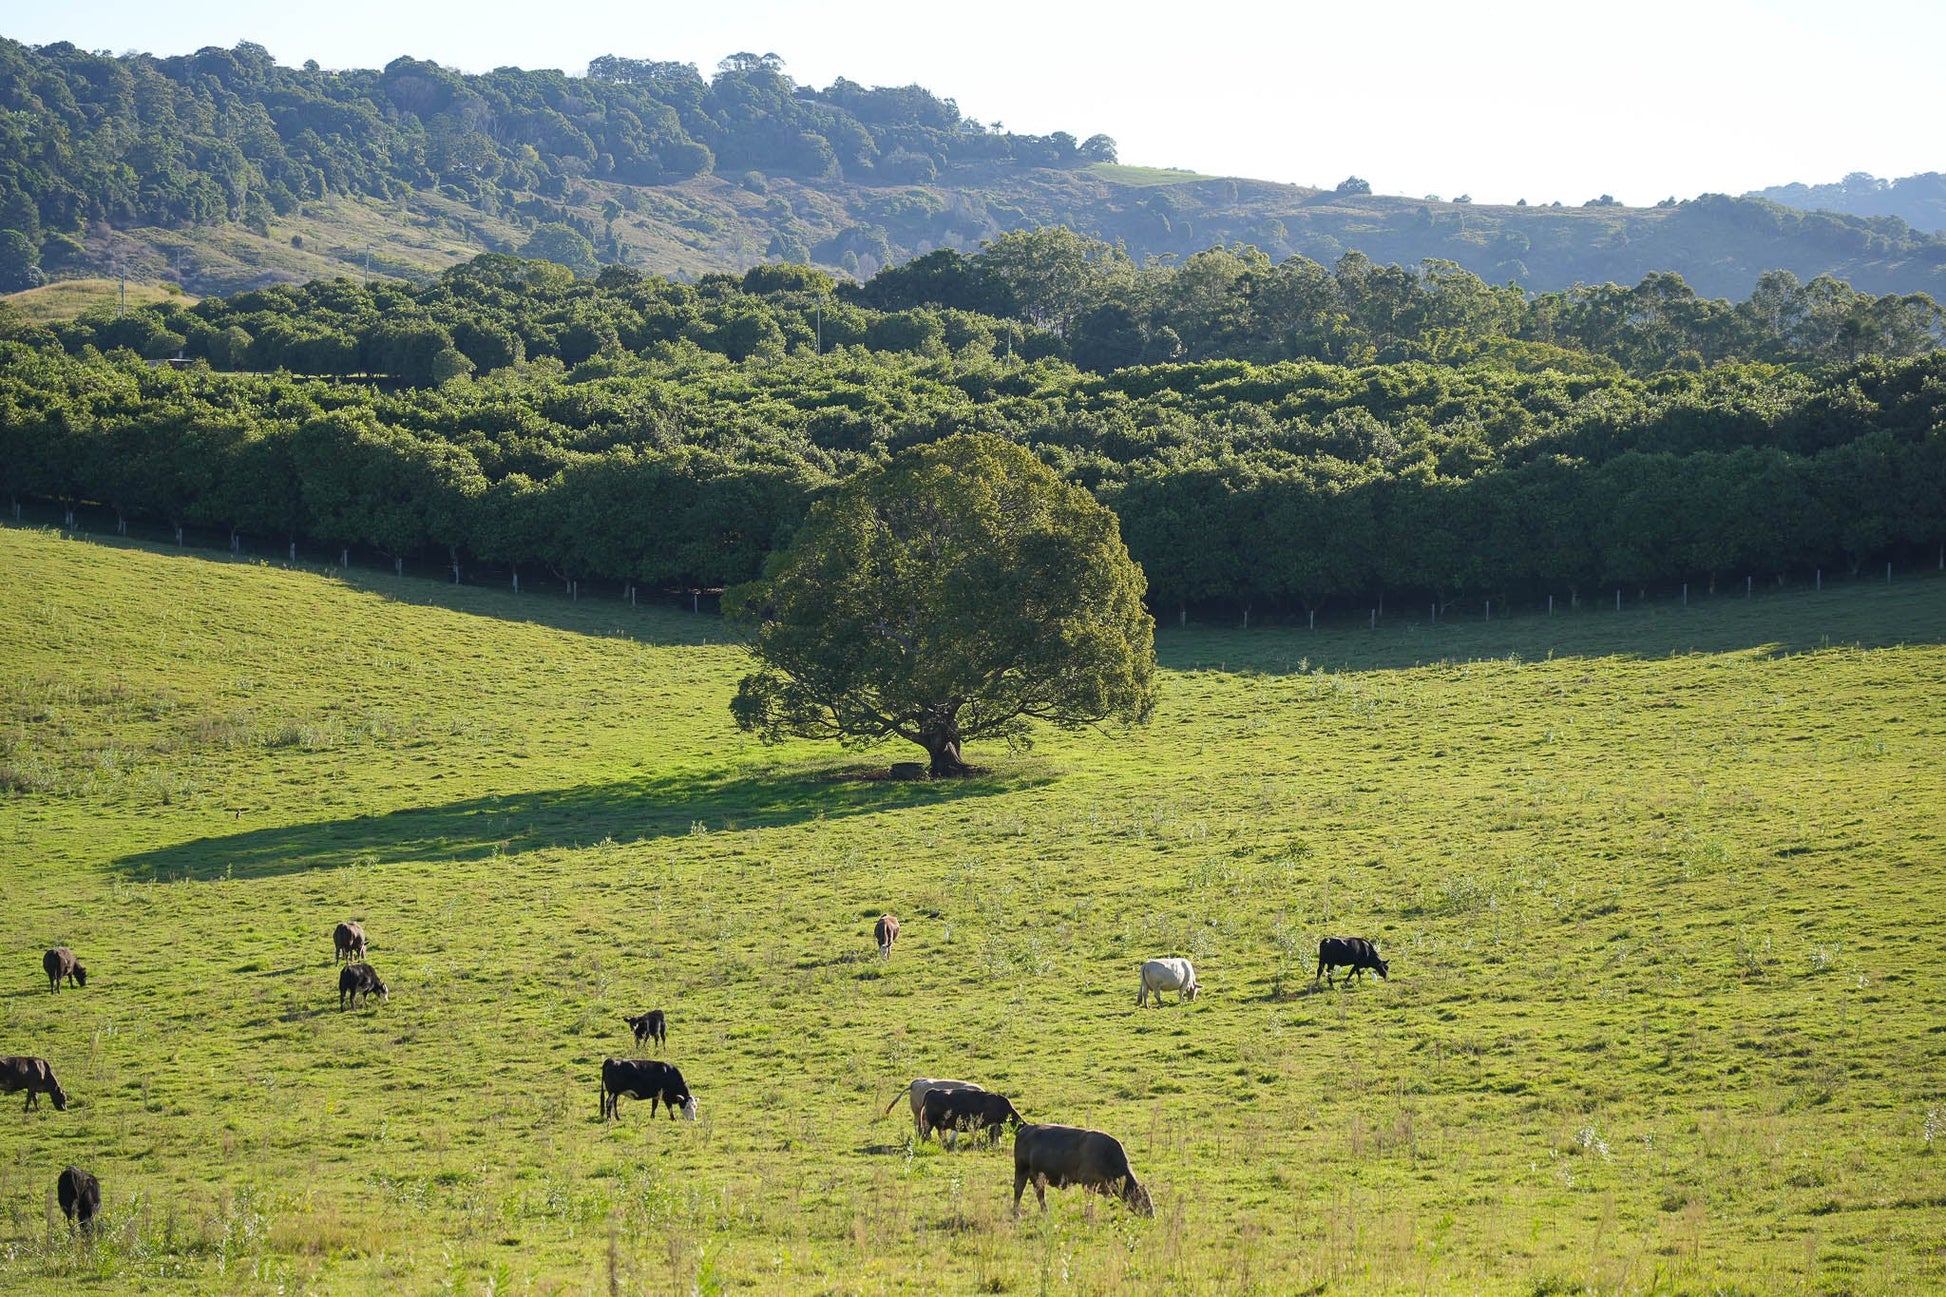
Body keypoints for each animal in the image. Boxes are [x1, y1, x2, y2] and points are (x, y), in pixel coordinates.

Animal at [1013, 1124, 1154, 1217]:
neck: (1106, 1154)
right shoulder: (1087, 1182)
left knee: (1040, 1193)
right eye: (1143, 1199)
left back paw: (1045, 1212)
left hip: (1037, 1177)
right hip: (1021, 1171)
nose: (1152, 1216)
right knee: (1019, 1190)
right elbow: (1089, 1201)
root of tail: (1025, 1129)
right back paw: (1016, 1214)